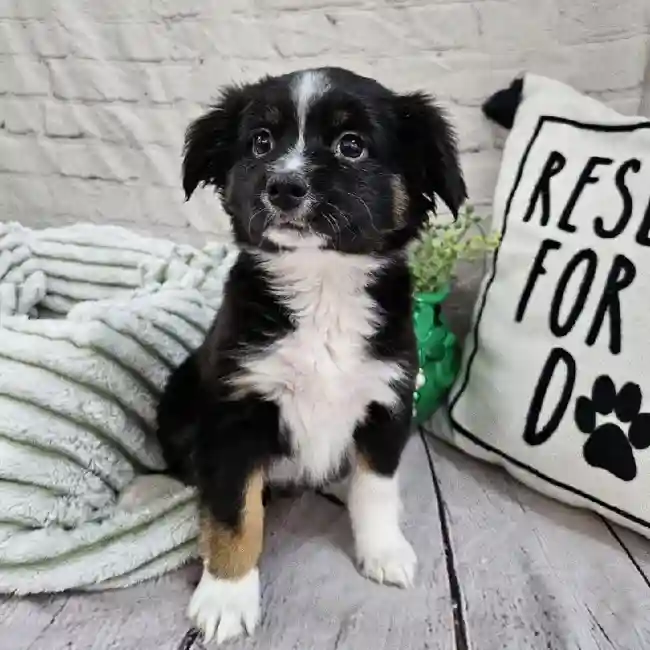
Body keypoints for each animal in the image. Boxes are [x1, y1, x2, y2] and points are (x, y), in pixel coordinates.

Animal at [154, 66, 464, 644]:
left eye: (352, 145)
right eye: (260, 142)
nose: (283, 186)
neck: (322, 287)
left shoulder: (387, 400)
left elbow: (376, 487)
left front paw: (383, 550)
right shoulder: (235, 413)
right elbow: (233, 514)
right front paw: (227, 596)